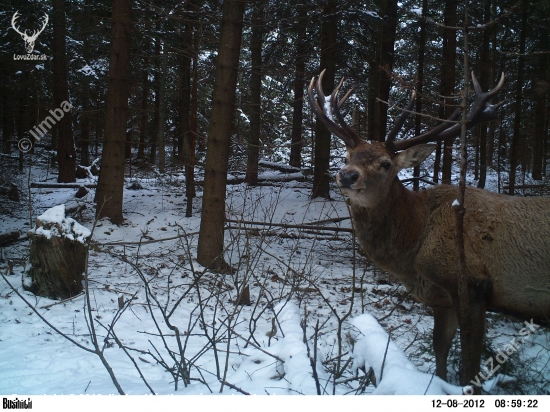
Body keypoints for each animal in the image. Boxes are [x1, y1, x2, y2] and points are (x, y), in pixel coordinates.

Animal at [310, 71, 550, 392]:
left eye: (386, 163)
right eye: (348, 156)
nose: (347, 175)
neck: (414, 250)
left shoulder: (472, 286)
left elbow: (470, 366)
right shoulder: (440, 298)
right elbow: (440, 352)